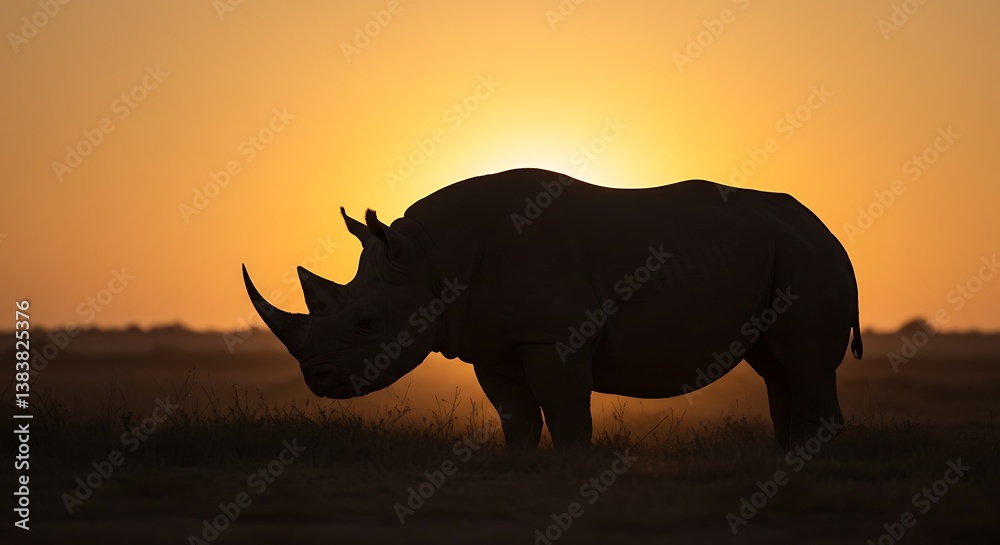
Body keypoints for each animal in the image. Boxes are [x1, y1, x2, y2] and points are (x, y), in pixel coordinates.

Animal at [243, 168, 862, 450]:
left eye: (366, 323)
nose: (319, 380)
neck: (428, 258)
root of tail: (830, 233)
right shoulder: (490, 342)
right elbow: (515, 416)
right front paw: (521, 465)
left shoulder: (554, 334)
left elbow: (565, 412)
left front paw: (569, 467)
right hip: (786, 256)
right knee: (776, 368)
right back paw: (784, 458)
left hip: (808, 260)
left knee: (802, 365)